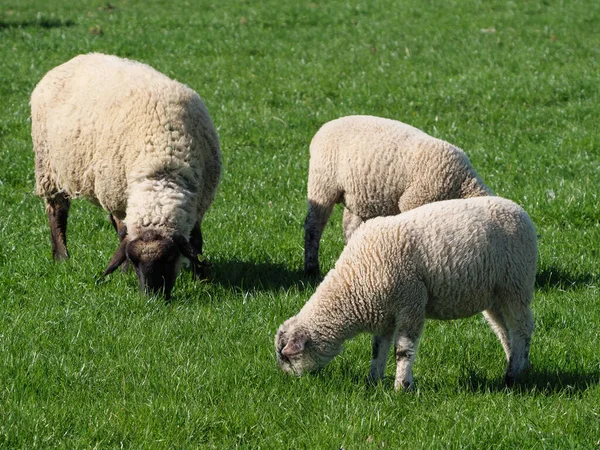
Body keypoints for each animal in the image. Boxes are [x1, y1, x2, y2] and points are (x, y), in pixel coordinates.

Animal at [31, 52, 223, 300]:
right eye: (134, 260)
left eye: (170, 258)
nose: (153, 298)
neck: (161, 165)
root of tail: (75, 59)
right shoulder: (119, 202)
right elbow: (123, 236)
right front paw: (124, 273)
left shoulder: (199, 204)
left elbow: (196, 241)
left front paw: (201, 277)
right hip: (49, 168)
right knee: (57, 212)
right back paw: (62, 257)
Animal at [276, 197, 536, 390]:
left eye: (287, 357)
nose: (290, 382)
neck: (353, 284)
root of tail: (520, 211)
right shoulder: (384, 315)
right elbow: (377, 349)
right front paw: (374, 381)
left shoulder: (411, 304)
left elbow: (403, 350)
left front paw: (402, 387)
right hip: (494, 295)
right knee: (505, 331)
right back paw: (519, 364)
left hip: (516, 285)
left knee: (522, 328)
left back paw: (512, 375)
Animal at [304, 115, 492, 278]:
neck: (461, 184)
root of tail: (326, 125)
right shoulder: (414, 201)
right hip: (322, 184)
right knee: (313, 226)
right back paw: (312, 268)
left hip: (356, 198)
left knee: (350, 228)